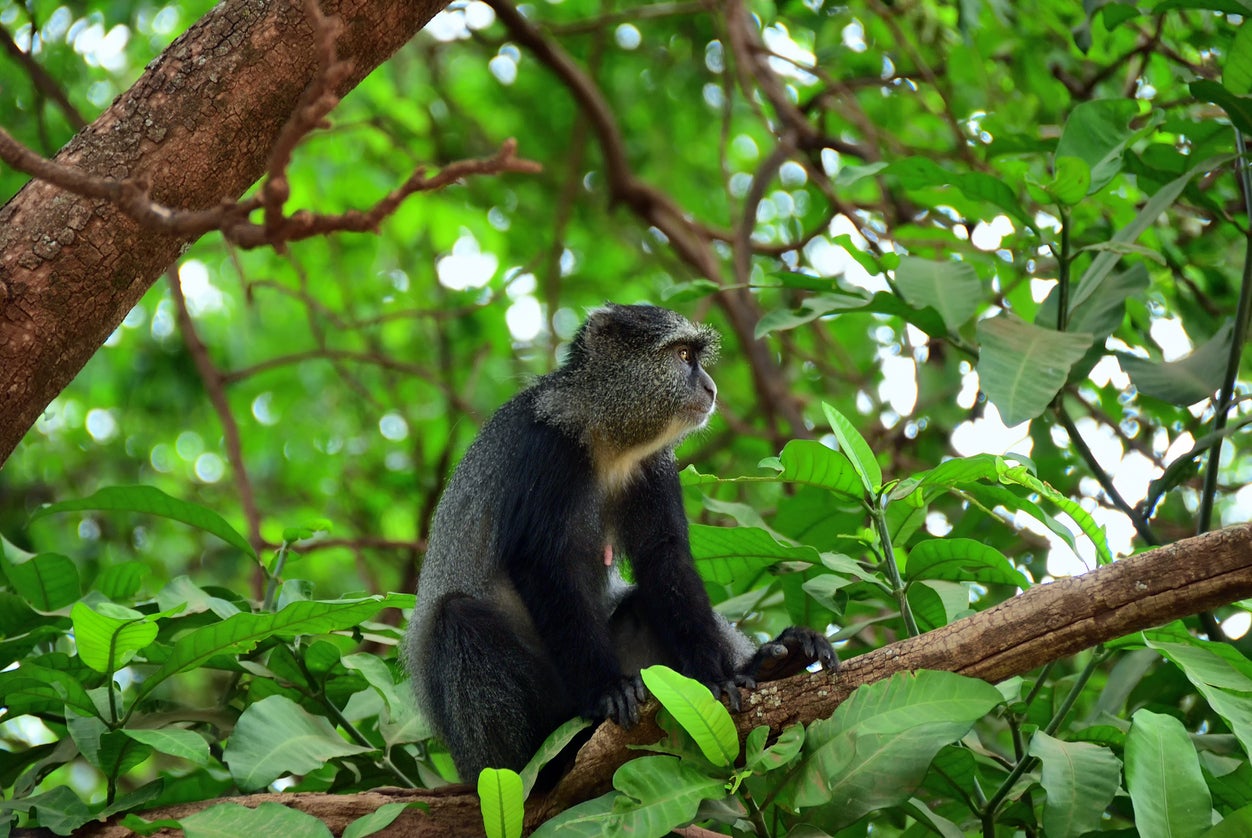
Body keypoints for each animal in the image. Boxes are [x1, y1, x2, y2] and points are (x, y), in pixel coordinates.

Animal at [405, 301, 836, 786]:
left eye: (696, 357)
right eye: (683, 356)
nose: (710, 386)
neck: (607, 438)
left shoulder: (653, 466)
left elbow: (663, 560)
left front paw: (721, 676)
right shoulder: (547, 447)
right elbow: (541, 564)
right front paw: (608, 691)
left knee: (643, 604)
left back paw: (774, 661)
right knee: (457, 617)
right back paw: (546, 764)